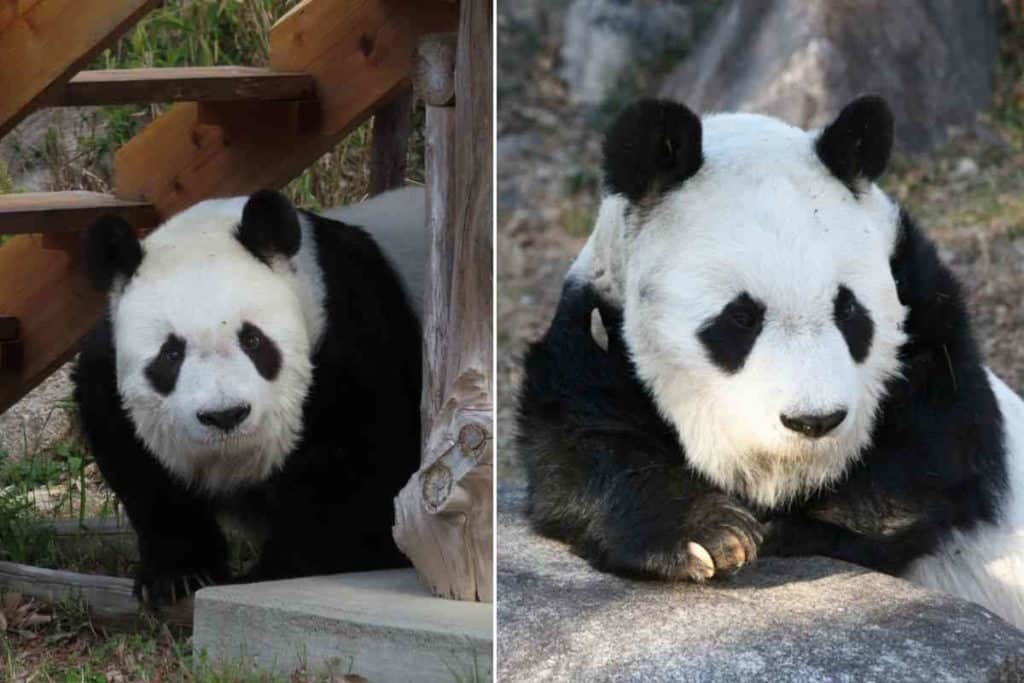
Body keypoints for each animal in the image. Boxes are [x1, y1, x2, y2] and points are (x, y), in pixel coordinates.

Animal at [73, 186, 425, 606]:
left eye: (254, 340)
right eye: (171, 354)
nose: (225, 415)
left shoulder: (352, 340)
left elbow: (361, 474)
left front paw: (273, 574)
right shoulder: (110, 374)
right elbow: (135, 462)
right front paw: (179, 575)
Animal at [517, 96, 1024, 628]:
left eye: (848, 310)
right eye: (741, 318)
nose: (814, 421)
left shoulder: (923, 306)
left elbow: (936, 448)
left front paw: (792, 528)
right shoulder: (594, 332)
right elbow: (581, 447)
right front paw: (711, 535)